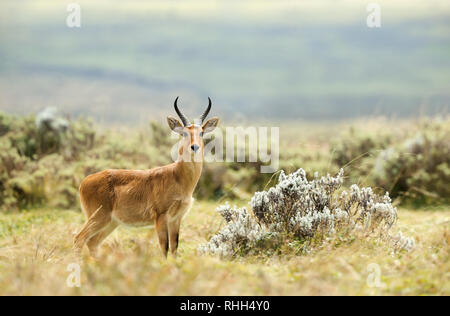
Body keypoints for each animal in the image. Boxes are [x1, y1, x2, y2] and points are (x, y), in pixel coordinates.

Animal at [73, 97, 219, 258]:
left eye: (201, 133)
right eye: (184, 133)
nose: (195, 147)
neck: (177, 177)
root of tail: (84, 182)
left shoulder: (176, 218)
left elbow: (174, 247)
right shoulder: (161, 216)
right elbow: (164, 247)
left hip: (111, 222)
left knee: (92, 242)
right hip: (99, 217)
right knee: (79, 238)